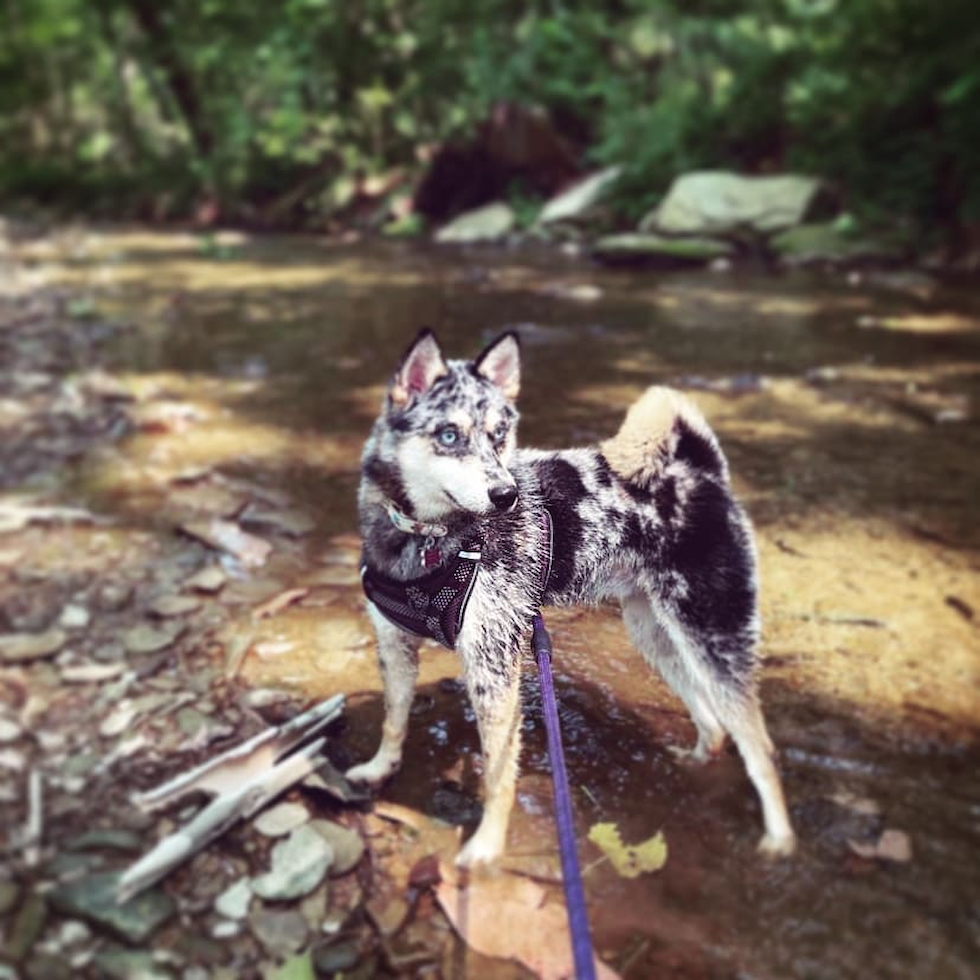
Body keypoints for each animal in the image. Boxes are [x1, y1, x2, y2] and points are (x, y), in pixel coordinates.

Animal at [352, 330, 796, 864]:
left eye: (500, 435)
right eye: (449, 435)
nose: (507, 495)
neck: (430, 540)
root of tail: (703, 470)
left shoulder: (492, 668)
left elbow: (497, 773)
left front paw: (487, 845)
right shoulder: (395, 647)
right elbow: (393, 720)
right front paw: (379, 768)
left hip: (713, 637)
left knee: (758, 745)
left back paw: (779, 838)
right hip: (654, 637)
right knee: (712, 724)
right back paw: (693, 758)